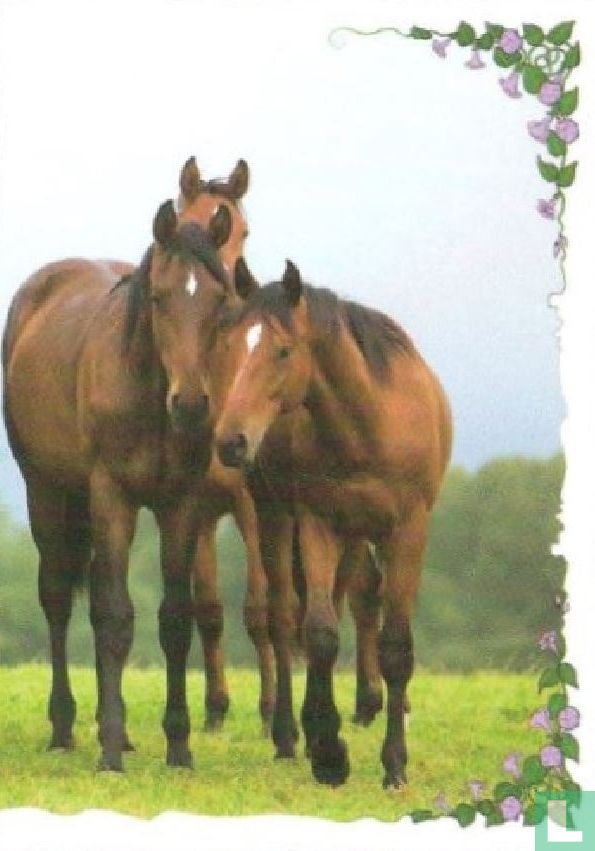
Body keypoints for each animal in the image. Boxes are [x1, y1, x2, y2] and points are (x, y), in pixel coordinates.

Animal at [2, 165, 250, 771]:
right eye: (159, 298)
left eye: (216, 300)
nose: (191, 404)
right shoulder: (111, 495)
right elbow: (113, 615)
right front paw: (111, 749)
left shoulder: (180, 503)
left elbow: (176, 618)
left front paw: (178, 745)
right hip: (47, 490)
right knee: (58, 597)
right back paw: (65, 727)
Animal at [213, 260, 452, 787]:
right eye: (232, 344)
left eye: (283, 350)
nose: (230, 442)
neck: (370, 424)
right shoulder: (317, 522)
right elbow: (320, 634)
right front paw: (328, 751)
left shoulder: (408, 530)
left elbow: (395, 645)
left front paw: (394, 765)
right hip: (275, 518)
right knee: (285, 619)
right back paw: (288, 735)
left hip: (361, 536)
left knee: (359, 600)